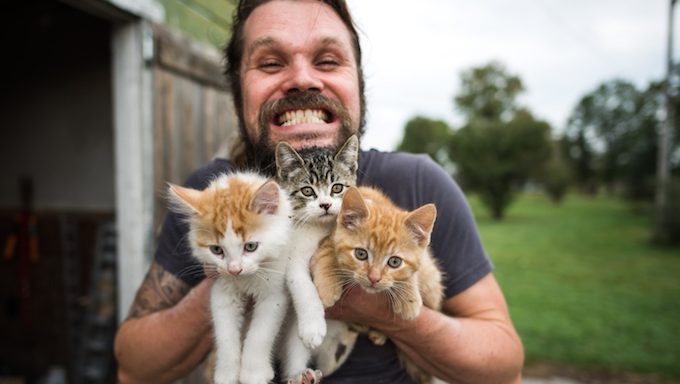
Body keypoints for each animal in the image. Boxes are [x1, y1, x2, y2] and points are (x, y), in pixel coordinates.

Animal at [167, 172, 292, 384]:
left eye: (250, 246)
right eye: (217, 250)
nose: (235, 269)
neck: (246, 279)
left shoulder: (275, 292)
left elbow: (261, 333)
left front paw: (253, 373)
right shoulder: (221, 290)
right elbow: (225, 334)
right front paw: (227, 373)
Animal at [274, 135, 364, 380]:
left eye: (337, 187)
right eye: (307, 191)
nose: (325, 205)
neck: (317, 227)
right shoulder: (291, 255)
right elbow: (301, 284)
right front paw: (313, 328)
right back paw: (299, 376)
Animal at [310, 184, 444, 382]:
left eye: (394, 262)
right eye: (361, 254)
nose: (374, 278)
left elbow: (411, 274)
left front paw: (408, 298)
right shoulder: (328, 234)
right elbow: (327, 251)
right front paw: (328, 286)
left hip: (432, 279)